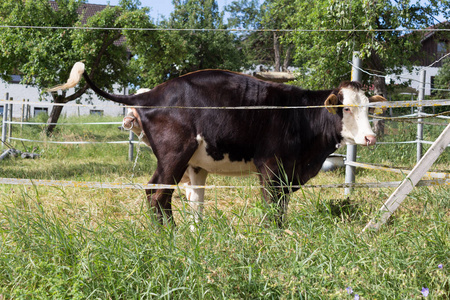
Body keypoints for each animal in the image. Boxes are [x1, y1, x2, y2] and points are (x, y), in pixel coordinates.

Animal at [49, 63, 386, 227]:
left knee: (165, 194)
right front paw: (273, 234)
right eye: (345, 108)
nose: (370, 138)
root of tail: (152, 94)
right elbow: (272, 205)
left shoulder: (288, 173)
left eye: (369, 107)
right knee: (159, 194)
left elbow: (281, 205)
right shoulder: (271, 166)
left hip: (182, 161)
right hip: (174, 153)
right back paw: (170, 235)